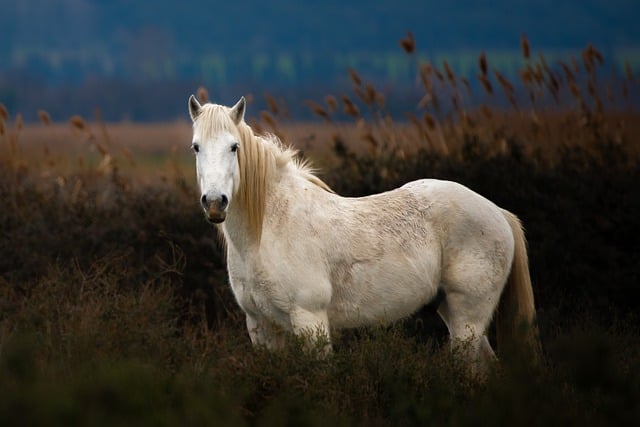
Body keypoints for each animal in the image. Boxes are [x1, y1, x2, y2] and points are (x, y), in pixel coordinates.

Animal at [188, 96, 536, 374]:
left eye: (234, 147)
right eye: (196, 147)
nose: (215, 202)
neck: (267, 230)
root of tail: (498, 213)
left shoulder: (310, 320)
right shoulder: (261, 326)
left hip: (468, 318)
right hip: (452, 310)